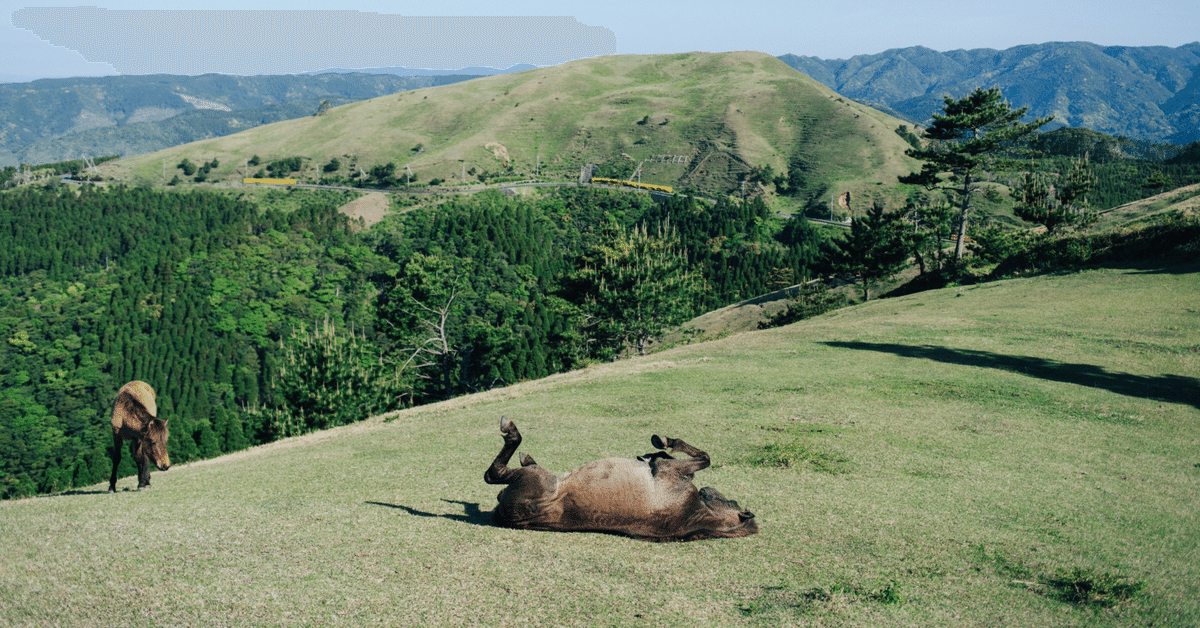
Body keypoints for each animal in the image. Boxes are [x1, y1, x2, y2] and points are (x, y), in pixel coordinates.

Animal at [482, 417, 753, 540]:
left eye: (730, 501)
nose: (707, 489)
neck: (695, 514)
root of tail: (505, 515)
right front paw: (649, 453)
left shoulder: (670, 469)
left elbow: (704, 457)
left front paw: (662, 443)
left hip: (533, 478)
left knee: (493, 473)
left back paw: (512, 433)